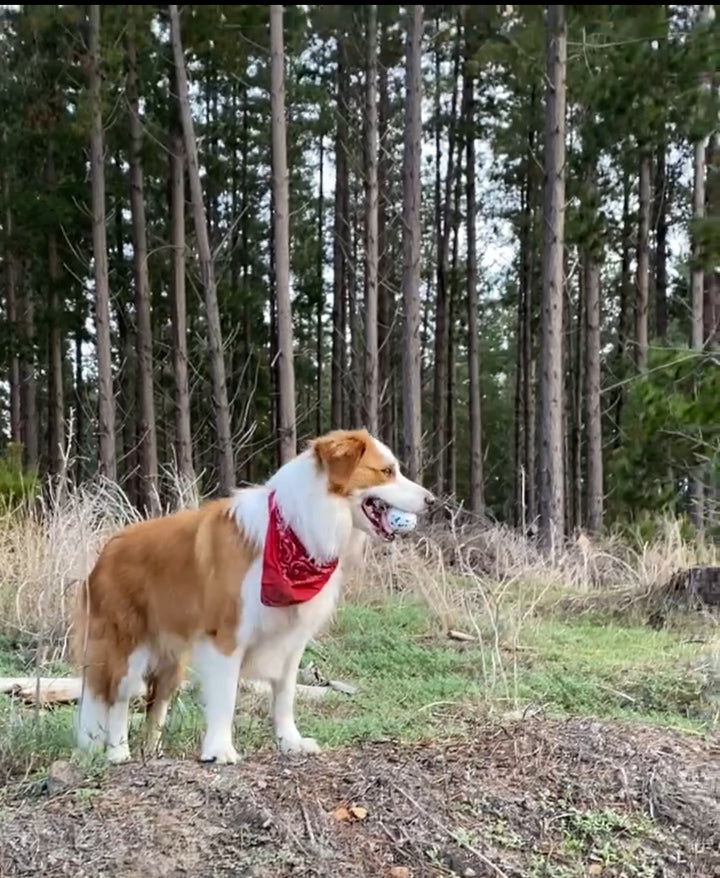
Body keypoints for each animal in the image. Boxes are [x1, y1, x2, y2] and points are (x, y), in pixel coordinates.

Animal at [71, 430, 434, 768]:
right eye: (386, 471)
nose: (431, 500)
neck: (298, 527)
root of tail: (107, 550)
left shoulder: (291, 638)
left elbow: (285, 695)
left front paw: (290, 742)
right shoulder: (227, 636)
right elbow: (225, 697)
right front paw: (219, 750)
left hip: (172, 660)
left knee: (155, 704)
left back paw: (153, 754)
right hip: (127, 648)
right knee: (117, 700)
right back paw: (118, 752)